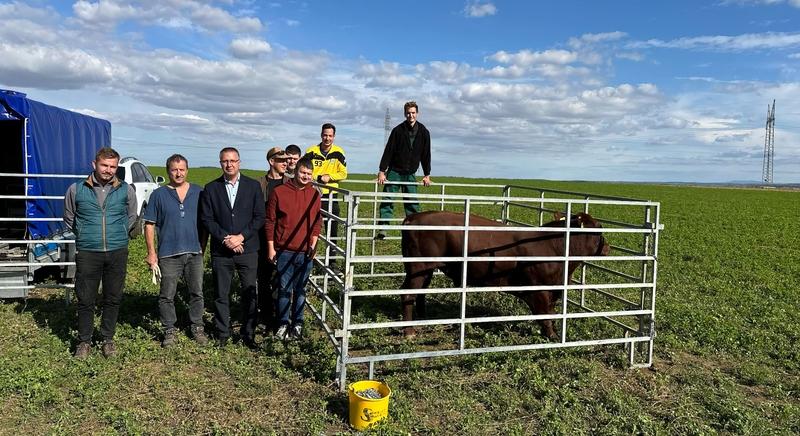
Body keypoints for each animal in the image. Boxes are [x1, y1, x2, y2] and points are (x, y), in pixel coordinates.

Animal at [396, 209, 608, 338]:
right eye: (598, 228)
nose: (607, 247)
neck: (554, 246)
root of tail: (413, 218)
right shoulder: (538, 290)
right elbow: (545, 316)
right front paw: (553, 336)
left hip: (426, 270)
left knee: (420, 293)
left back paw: (423, 318)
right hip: (418, 268)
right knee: (408, 294)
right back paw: (409, 331)